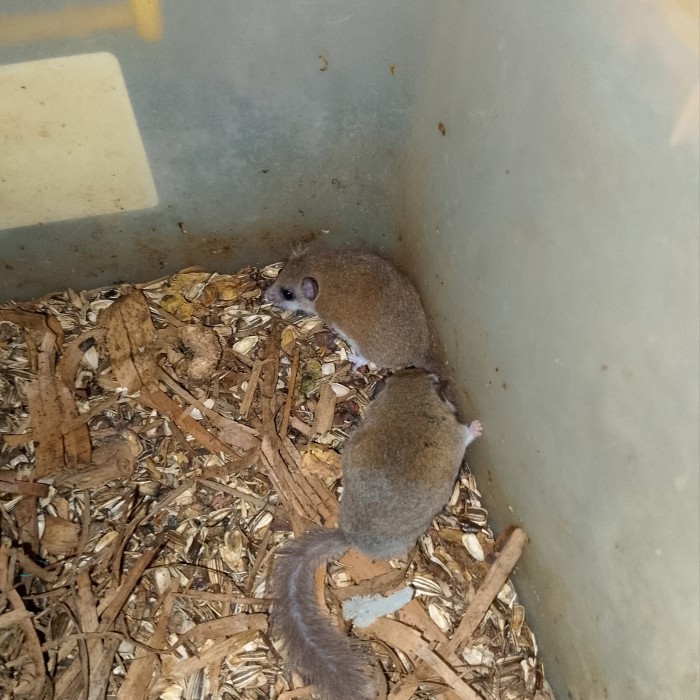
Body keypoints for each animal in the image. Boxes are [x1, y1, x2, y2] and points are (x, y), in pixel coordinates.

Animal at [264, 247, 435, 371]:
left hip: (363, 348)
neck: (321, 271)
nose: (266, 295)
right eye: (280, 271)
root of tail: (420, 355)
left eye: (287, 294)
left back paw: (354, 360)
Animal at [271, 369, 483, 700]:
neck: (408, 400)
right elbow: (466, 434)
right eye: (433, 382)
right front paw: (478, 426)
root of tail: (350, 538)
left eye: (409, 374)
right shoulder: (454, 432)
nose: (432, 372)